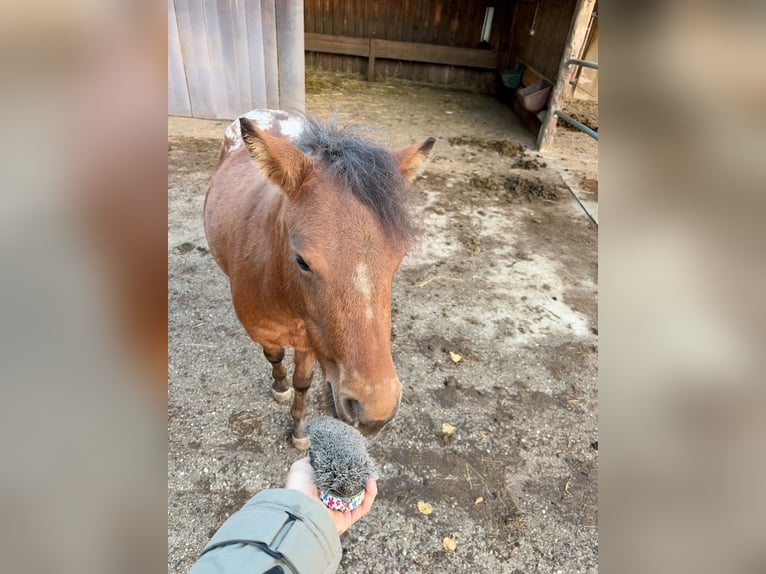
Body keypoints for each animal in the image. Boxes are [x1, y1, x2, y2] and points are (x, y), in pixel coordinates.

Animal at [203, 110, 434, 448]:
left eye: (399, 257)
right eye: (302, 261)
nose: (375, 410)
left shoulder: (309, 340)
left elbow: (303, 382)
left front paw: (299, 428)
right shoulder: (265, 333)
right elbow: (274, 356)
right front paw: (280, 387)